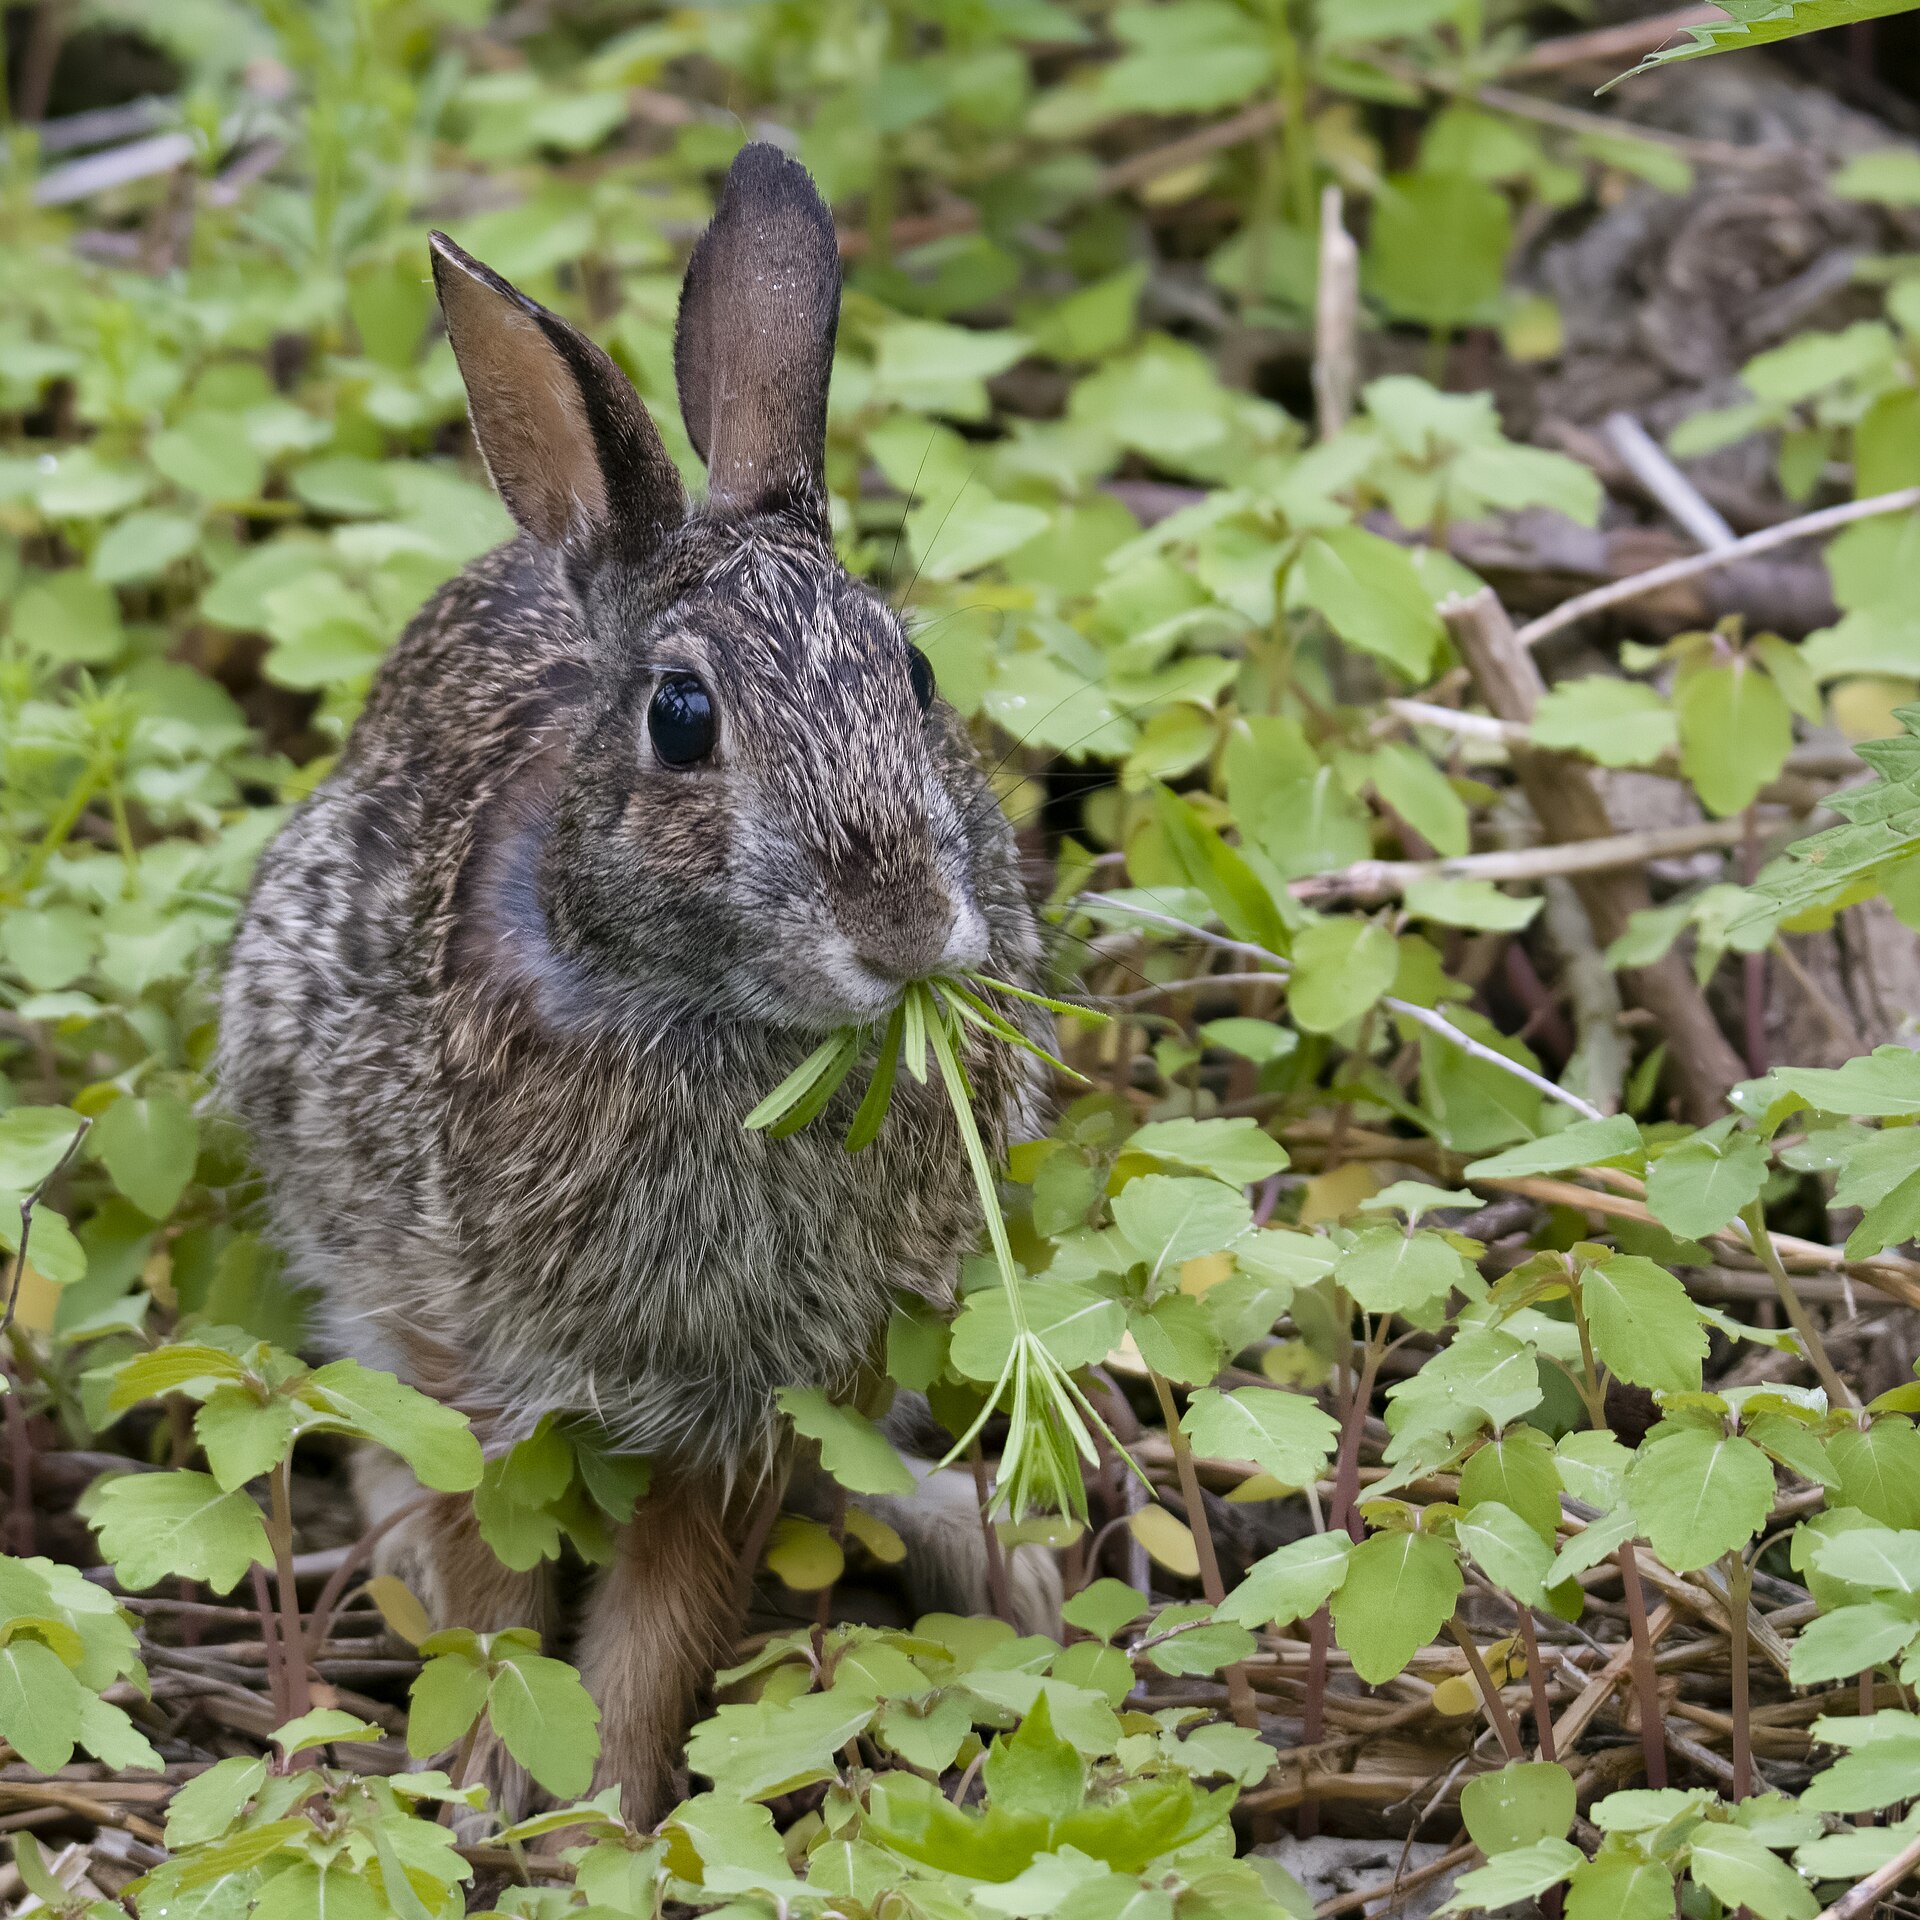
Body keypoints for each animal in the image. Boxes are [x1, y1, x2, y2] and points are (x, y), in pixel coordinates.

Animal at [218, 143, 1048, 1823]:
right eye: (681, 718)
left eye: (918, 678)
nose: (905, 927)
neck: (719, 1027)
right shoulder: (472, 1343)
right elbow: (491, 1556)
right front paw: (494, 1784)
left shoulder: (775, 1395)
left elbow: (671, 1617)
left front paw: (603, 1804)